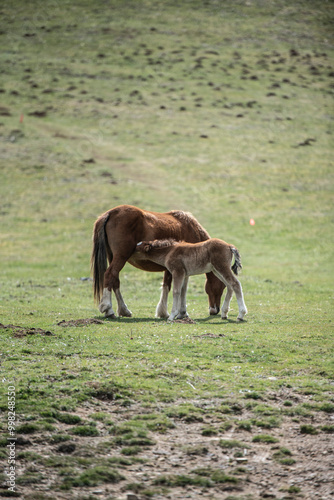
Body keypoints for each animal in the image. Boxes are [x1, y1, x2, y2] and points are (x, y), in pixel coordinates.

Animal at [91, 205, 224, 318]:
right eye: (222, 286)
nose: (215, 310)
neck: (191, 229)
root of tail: (110, 213)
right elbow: (180, 289)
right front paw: (180, 312)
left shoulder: (173, 268)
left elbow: (168, 285)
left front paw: (165, 312)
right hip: (121, 257)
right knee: (109, 275)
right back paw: (108, 309)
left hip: (113, 257)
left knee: (115, 280)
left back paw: (124, 310)